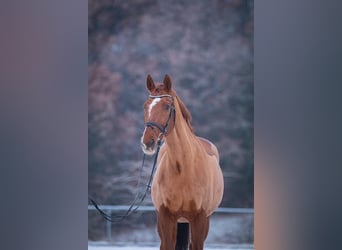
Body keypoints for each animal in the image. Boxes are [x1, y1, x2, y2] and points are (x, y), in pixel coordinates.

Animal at [141, 74, 224, 250]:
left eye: (166, 106)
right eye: (145, 106)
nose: (148, 142)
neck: (184, 168)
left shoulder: (200, 219)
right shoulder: (165, 217)